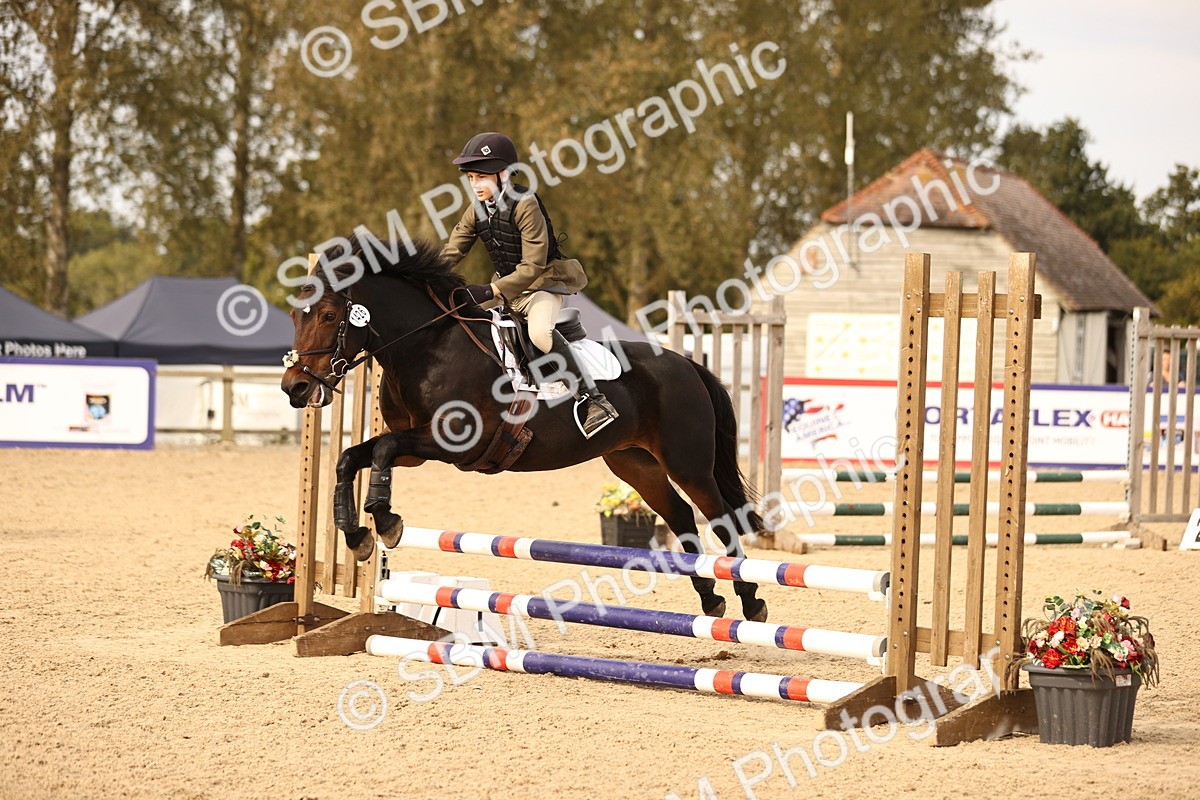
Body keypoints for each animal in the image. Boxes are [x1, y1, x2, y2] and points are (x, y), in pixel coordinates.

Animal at [280, 234, 769, 622]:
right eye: (294, 316)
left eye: (328, 316)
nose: (295, 388)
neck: (425, 347)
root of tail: (686, 364)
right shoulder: (416, 450)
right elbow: (350, 458)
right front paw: (359, 536)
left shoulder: (453, 443)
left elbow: (380, 452)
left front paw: (385, 523)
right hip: (635, 463)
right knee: (682, 516)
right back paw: (710, 601)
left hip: (688, 463)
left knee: (721, 519)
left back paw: (750, 602)